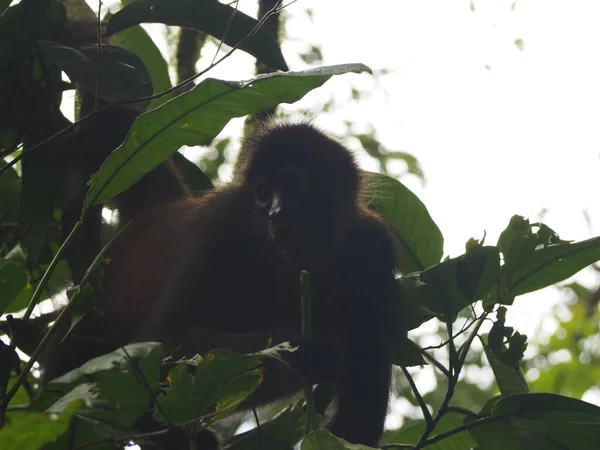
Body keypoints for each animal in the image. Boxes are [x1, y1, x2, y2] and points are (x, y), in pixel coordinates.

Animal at [42, 121, 398, 448]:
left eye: (295, 186)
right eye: (264, 194)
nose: (275, 212)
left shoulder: (374, 250)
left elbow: (358, 425)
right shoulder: (222, 228)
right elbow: (161, 339)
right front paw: (307, 352)